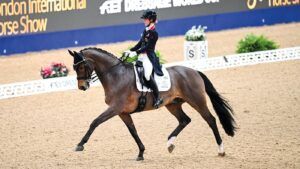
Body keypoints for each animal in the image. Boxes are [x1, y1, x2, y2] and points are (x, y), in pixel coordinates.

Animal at [68, 46, 237, 160]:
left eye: (81, 66)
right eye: (74, 68)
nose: (82, 87)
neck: (116, 75)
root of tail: (194, 71)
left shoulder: (115, 108)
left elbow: (95, 122)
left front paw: (80, 144)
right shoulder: (122, 112)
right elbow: (133, 131)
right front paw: (141, 153)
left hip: (196, 101)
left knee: (211, 120)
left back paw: (221, 150)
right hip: (173, 104)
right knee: (184, 120)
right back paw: (170, 144)